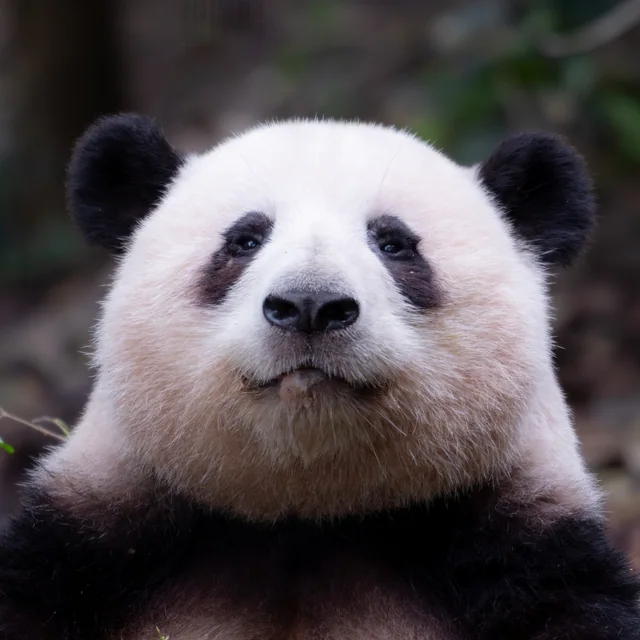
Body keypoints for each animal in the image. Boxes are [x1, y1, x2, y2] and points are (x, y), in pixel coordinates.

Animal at [1, 113, 639, 640]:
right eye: (245, 239)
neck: (309, 514)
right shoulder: (92, 548)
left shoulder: (526, 554)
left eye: (393, 243)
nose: (310, 305)